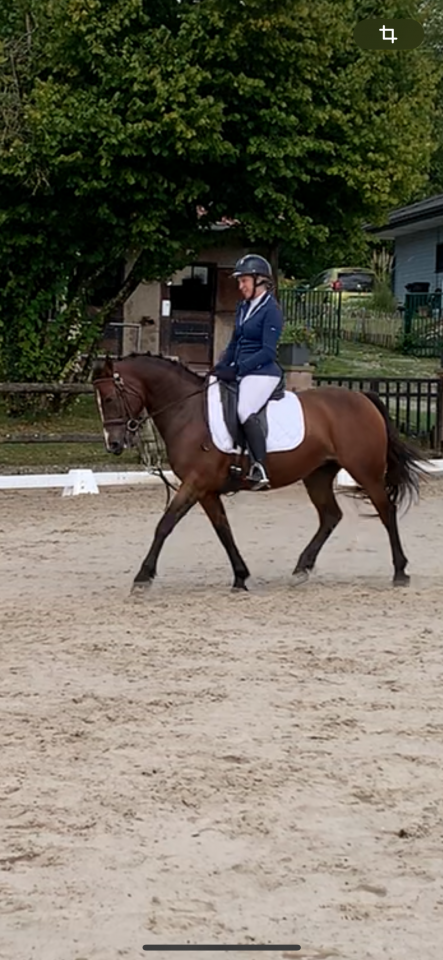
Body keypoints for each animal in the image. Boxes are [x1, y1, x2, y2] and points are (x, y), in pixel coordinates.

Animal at [92, 351, 424, 593]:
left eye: (109, 399)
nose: (113, 444)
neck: (189, 413)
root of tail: (362, 397)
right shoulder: (206, 490)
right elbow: (223, 530)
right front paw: (241, 577)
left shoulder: (195, 483)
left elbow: (165, 524)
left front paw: (142, 576)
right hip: (317, 474)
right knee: (331, 515)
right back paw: (301, 569)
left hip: (366, 472)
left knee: (386, 511)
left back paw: (400, 571)